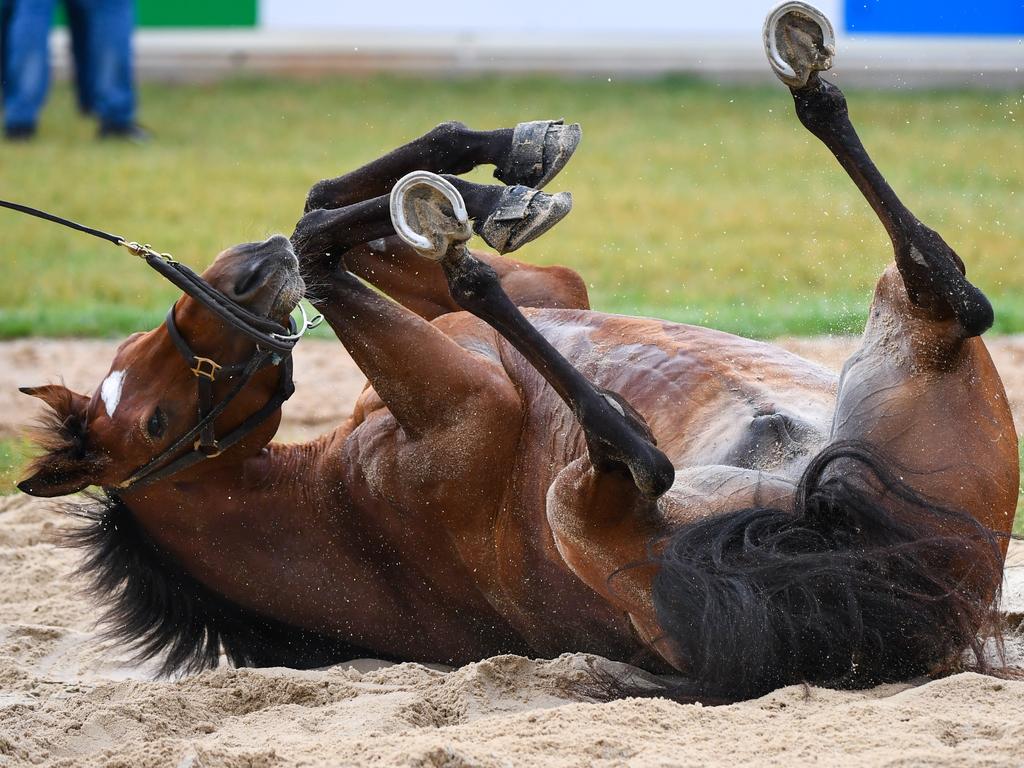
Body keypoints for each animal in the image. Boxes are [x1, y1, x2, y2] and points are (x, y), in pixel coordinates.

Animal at [14, 4, 1015, 704]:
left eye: (137, 353)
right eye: (154, 421)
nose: (242, 271)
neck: (338, 512)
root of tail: (876, 565)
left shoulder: (548, 298)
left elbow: (323, 212)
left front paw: (497, 176)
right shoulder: (469, 402)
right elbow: (326, 243)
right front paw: (466, 206)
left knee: (943, 285)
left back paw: (801, 70)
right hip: (588, 497)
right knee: (639, 454)